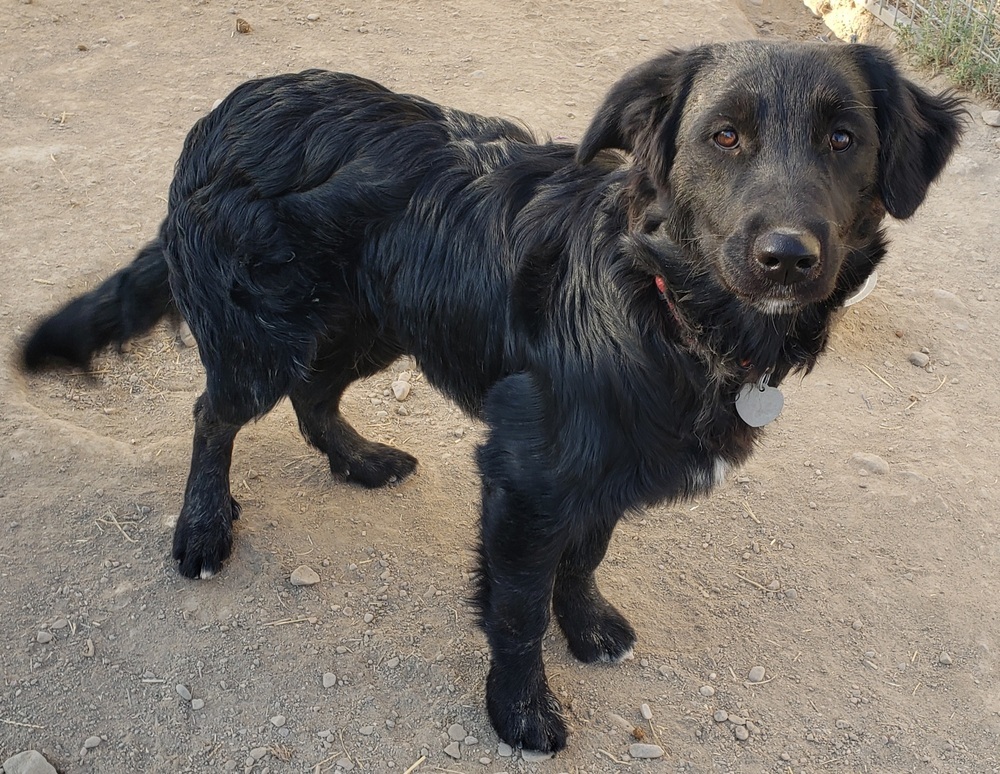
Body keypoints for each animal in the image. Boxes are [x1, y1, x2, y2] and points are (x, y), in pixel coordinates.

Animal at [21, 41, 960, 752]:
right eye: (724, 136)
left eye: (843, 138)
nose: (788, 257)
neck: (663, 303)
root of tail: (228, 110)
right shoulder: (526, 474)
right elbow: (514, 608)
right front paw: (520, 710)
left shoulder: (603, 469)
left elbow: (584, 557)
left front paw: (588, 626)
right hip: (264, 336)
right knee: (214, 416)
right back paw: (204, 527)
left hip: (374, 322)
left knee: (315, 395)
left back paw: (360, 461)